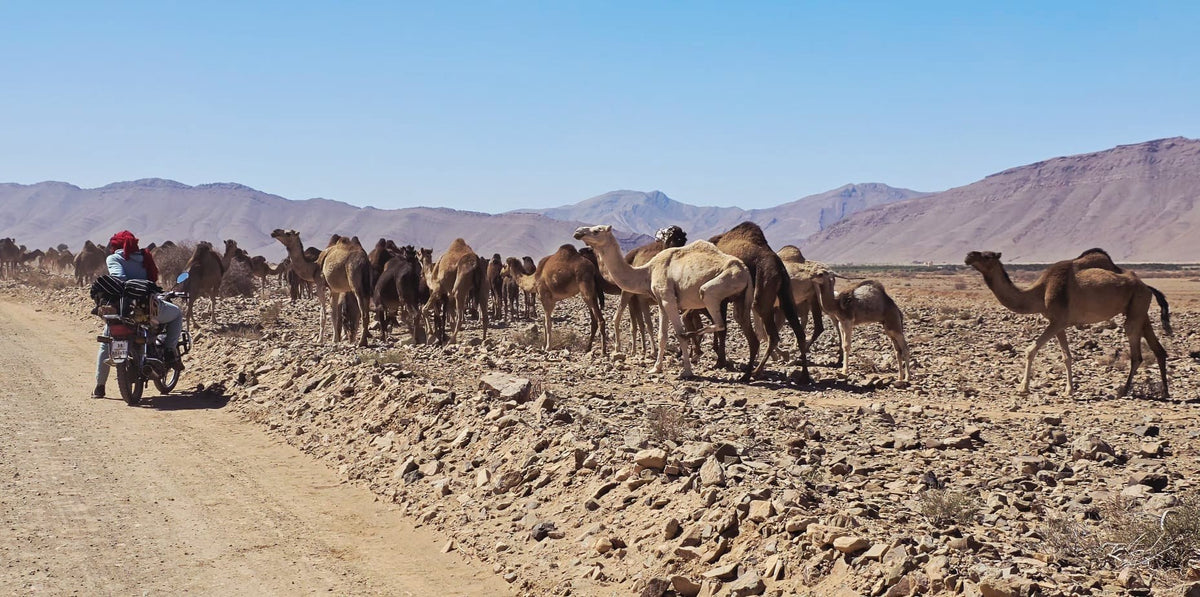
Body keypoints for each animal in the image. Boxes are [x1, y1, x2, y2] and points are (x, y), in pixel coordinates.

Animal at [573, 225, 760, 380]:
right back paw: (746, 375)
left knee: (718, 321)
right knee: (749, 334)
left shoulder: (668, 299)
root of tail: (745, 270)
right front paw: (655, 368)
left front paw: (686, 371)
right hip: (741, 299)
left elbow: (676, 332)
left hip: (716, 287)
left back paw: (692, 338)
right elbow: (661, 335)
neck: (647, 272)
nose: (578, 232)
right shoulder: (661, 303)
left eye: (596, 230)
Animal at [709, 222, 811, 381]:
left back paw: (753, 372)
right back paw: (804, 376)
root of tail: (779, 268)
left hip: (762, 289)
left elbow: (722, 329)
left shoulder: (722, 298)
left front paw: (720, 362)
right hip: (786, 293)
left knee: (771, 334)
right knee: (799, 332)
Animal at [964, 250, 1171, 399]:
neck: (1040, 292)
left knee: (1136, 353)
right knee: (1158, 349)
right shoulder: (1059, 323)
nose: (968, 256)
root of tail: (1147, 286)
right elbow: (1066, 356)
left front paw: (1023, 388)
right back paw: (1165, 392)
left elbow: (1030, 350)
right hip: (1140, 309)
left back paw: (1124, 391)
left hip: (1136, 307)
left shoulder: (1058, 320)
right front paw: (1069, 390)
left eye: (987, 255)